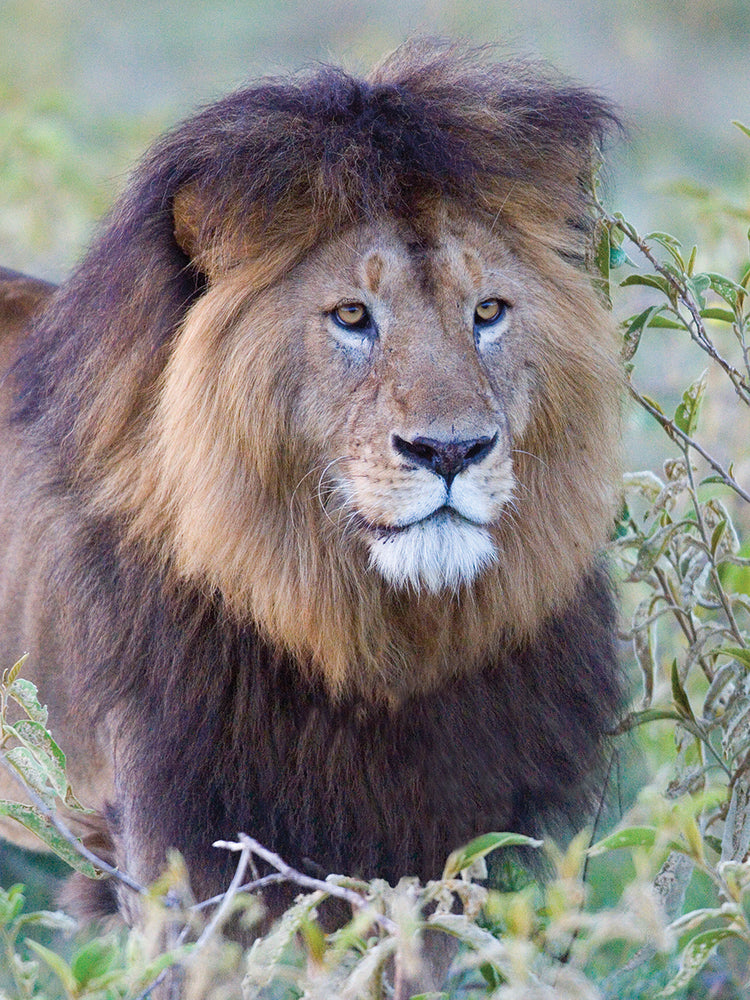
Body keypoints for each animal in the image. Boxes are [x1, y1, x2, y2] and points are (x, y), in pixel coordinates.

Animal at [0, 40, 623, 934]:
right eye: (353, 317)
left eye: (489, 311)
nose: (451, 450)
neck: (361, 638)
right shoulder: (164, 834)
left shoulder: (435, 832)